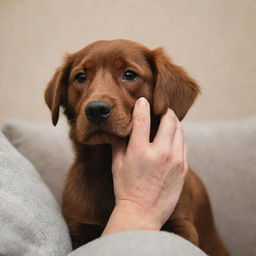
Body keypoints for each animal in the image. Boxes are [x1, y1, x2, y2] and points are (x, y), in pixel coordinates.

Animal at [45, 39, 229, 255]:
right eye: (80, 77)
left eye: (129, 75)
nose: (96, 109)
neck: (106, 167)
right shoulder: (79, 230)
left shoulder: (181, 224)